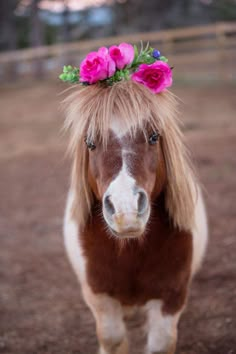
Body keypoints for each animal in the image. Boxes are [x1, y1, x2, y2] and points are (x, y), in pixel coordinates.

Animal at [63, 81, 208, 354]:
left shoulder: (171, 297)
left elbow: (160, 343)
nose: (126, 210)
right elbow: (112, 339)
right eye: (90, 143)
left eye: (153, 136)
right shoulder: (100, 296)